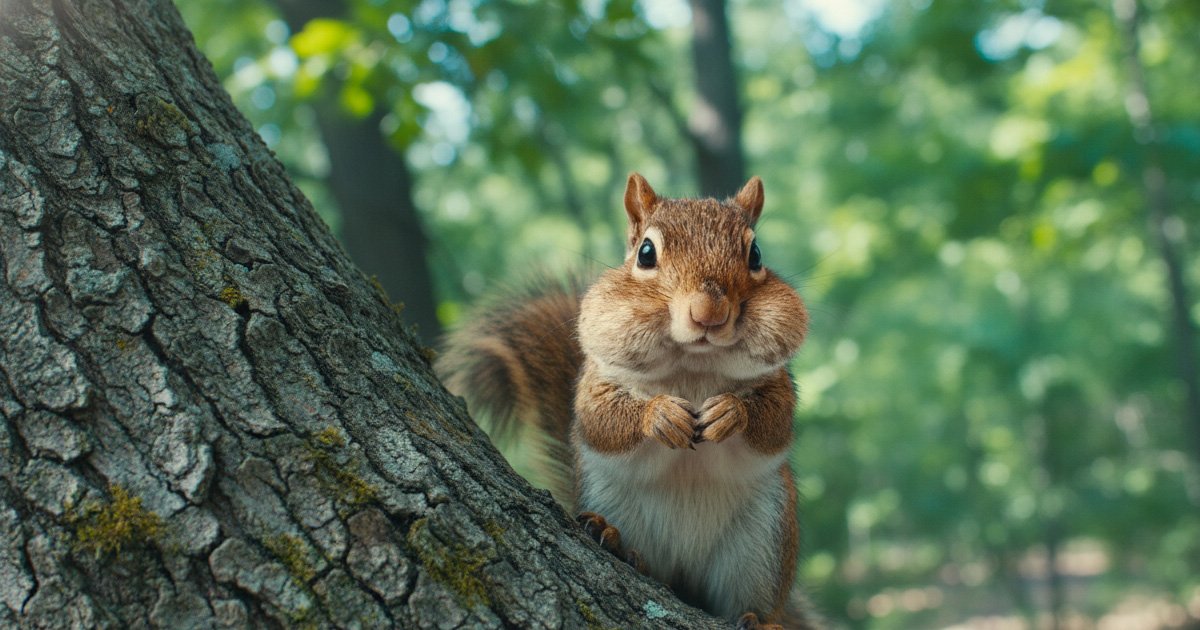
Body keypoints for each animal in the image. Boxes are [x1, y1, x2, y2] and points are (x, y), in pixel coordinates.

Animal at [437, 173, 823, 630]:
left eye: (756, 254)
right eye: (646, 253)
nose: (708, 312)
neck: (693, 362)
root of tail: (683, 577)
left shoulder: (779, 383)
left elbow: (775, 420)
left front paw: (731, 411)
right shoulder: (595, 381)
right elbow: (600, 419)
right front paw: (659, 415)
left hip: (764, 543)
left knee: (752, 601)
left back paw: (761, 619)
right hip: (612, 499)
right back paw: (616, 543)